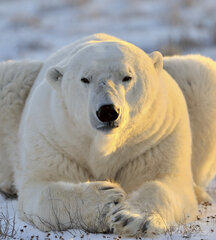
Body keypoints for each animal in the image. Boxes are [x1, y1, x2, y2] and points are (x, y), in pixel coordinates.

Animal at [0, 34, 216, 238]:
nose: (107, 111)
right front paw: (107, 198)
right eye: (85, 79)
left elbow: (167, 182)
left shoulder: (158, 137)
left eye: (127, 77)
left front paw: (132, 218)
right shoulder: (53, 138)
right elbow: (42, 189)